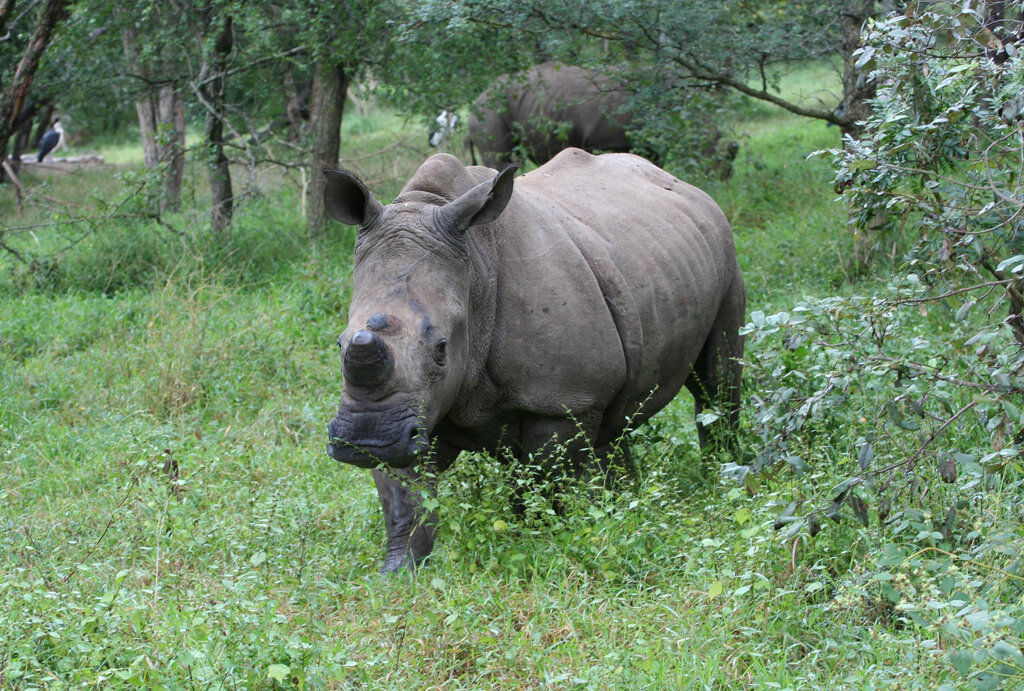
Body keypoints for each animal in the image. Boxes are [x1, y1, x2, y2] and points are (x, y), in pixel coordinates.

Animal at [323, 148, 745, 573]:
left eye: (441, 348)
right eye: (339, 343)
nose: (363, 439)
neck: (475, 269)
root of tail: (685, 185)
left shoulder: (562, 399)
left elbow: (544, 480)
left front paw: (540, 547)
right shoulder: (405, 415)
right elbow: (404, 496)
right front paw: (399, 571)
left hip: (724, 248)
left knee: (717, 383)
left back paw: (721, 480)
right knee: (617, 417)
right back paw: (627, 503)